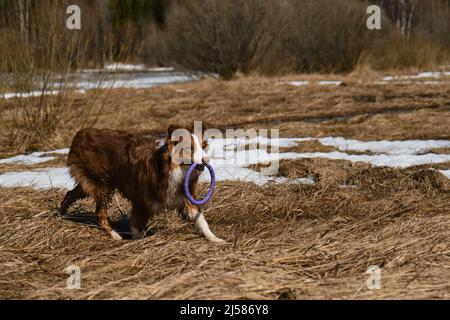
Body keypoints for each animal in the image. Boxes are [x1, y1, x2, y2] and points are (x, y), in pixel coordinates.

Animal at [58, 125, 223, 242]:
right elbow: (136, 227)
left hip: (94, 182)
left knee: (70, 193)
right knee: (99, 212)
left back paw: (61, 212)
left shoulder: (185, 198)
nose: (206, 161)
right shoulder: (141, 203)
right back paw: (114, 235)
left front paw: (215, 238)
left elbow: (201, 219)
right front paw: (138, 242)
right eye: (189, 148)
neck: (175, 170)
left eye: (204, 146)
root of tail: (81, 133)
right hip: (102, 184)